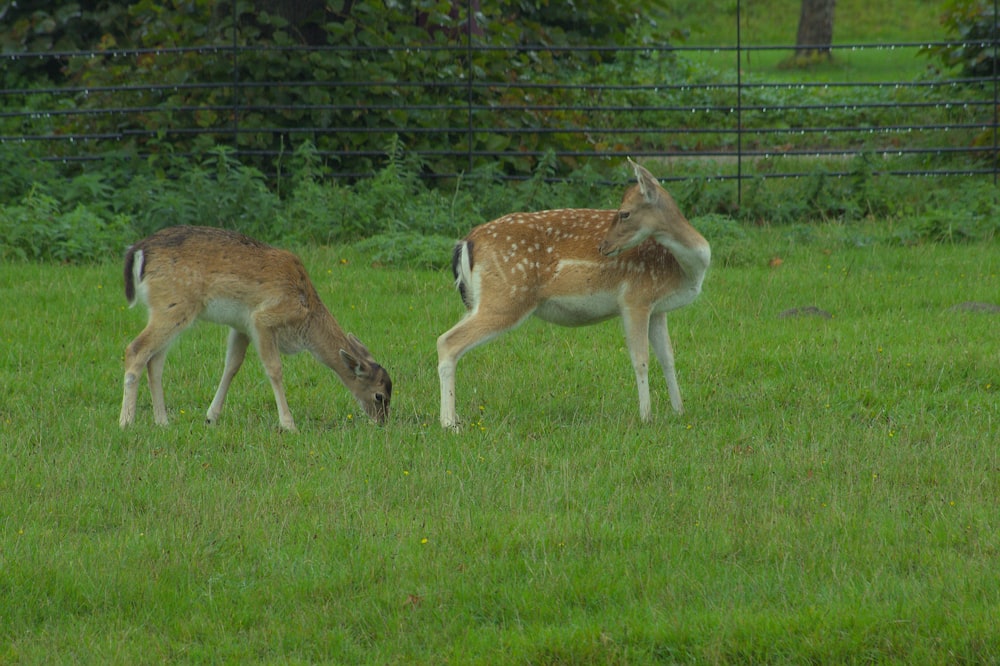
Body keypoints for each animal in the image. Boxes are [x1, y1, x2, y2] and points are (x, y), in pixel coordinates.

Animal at [119, 224, 392, 430]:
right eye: (380, 395)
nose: (382, 422)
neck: (306, 316)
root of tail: (139, 250)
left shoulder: (241, 326)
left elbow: (232, 366)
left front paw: (211, 417)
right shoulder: (263, 319)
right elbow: (274, 369)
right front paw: (288, 424)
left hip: (167, 310)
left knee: (155, 360)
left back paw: (162, 421)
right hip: (173, 306)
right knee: (135, 349)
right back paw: (126, 422)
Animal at [438, 157, 712, 426]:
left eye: (624, 212)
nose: (603, 246)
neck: (683, 270)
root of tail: (466, 241)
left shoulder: (657, 308)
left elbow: (668, 358)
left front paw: (679, 411)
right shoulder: (635, 298)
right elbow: (641, 359)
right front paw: (646, 417)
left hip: (480, 300)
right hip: (506, 297)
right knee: (447, 341)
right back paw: (449, 423)